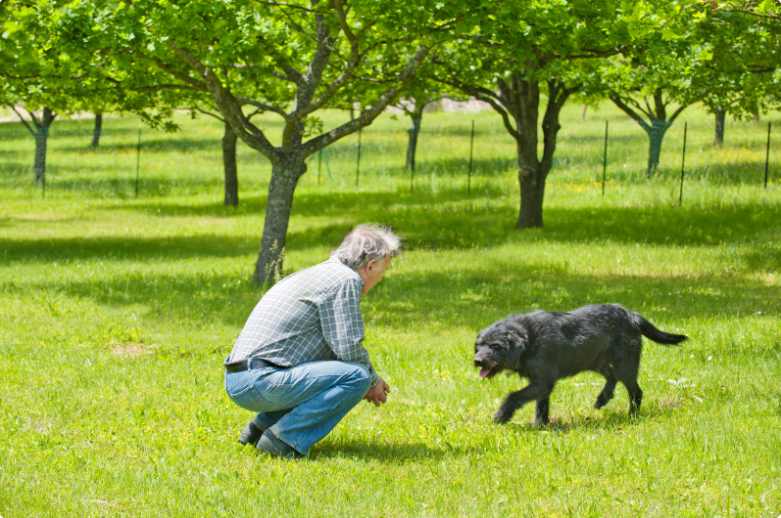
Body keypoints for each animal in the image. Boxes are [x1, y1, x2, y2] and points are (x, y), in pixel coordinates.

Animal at [472, 304, 684, 426]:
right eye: (480, 345)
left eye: (496, 346)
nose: (477, 361)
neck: (529, 337)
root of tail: (632, 316)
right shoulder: (542, 383)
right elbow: (541, 405)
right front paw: (541, 425)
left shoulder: (542, 381)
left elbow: (514, 396)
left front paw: (501, 416)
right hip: (596, 361)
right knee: (612, 377)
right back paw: (602, 399)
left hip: (625, 364)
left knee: (635, 390)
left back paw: (632, 416)